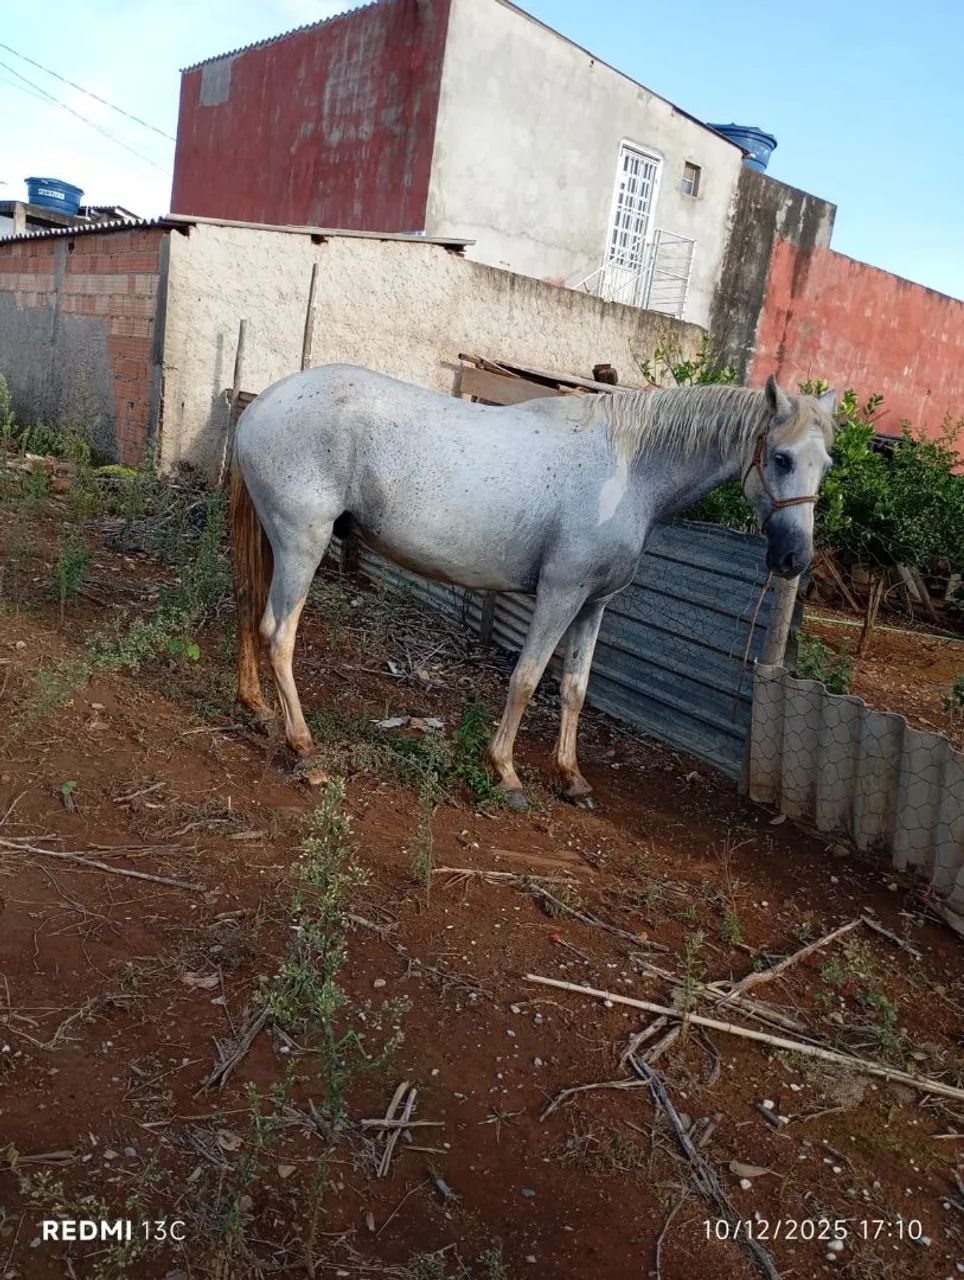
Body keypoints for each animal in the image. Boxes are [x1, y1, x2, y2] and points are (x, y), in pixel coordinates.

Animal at [230, 365, 837, 808]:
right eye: (781, 457)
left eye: (825, 464)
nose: (794, 559)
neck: (627, 469)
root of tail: (262, 405)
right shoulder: (559, 595)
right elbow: (526, 678)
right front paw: (505, 772)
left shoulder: (594, 605)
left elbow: (574, 688)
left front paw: (570, 777)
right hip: (303, 545)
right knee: (279, 633)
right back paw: (304, 746)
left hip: (277, 542)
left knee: (251, 610)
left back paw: (256, 708)